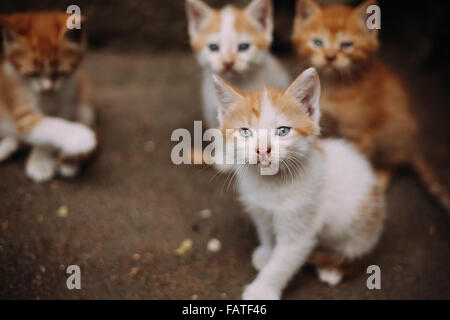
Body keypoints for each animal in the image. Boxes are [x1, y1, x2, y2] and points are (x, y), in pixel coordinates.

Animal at [0, 11, 97, 182]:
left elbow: (53, 126)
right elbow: (47, 126)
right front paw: (79, 137)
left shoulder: (68, 101)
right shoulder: (18, 100)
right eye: (32, 74)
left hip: (85, 96)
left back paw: (70, 160)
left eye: (60, 73)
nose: (47, 88)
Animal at [214, 68, 386, 300]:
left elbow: (281, 264)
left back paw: (334, 269)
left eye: (283, 131)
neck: (269, 184)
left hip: (360, 231)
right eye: (245, 132)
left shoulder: (300, 229)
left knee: (355, 253)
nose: (262, 150)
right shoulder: (259, 208)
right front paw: (267, 252)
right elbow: (266, 230)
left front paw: (261, 290)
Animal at [290, 0, 448, 212]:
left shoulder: (359, 136)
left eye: (347, 45)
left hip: (393, 133)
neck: (333, 86)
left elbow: (355, 160)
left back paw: (381, 176)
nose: (330, 57)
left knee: (394, 162)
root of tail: (412, 145)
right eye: (317, 43)